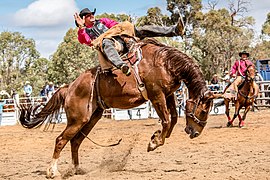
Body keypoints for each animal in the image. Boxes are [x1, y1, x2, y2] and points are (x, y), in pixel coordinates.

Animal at [17, 38, 217, 178]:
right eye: (204, 110)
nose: (195, 133)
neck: (164, 62)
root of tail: (70, 86)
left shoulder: (168, 94)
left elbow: (173, 119)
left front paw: (157, 137)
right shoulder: (156, 95)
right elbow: (167, 120)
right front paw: (154, 142)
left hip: (92, 117)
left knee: (75, 142)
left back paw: (77, 169)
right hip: (78, 119)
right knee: (61, 140)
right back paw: (52, 172)